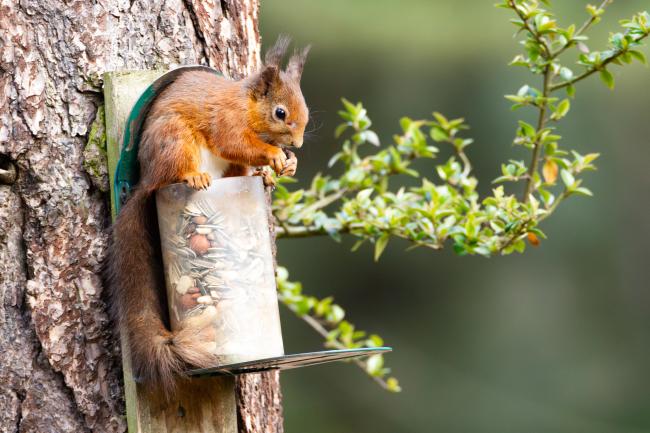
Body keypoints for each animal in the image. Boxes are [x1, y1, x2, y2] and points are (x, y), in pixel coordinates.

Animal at [107, 37, 308, 394]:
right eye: (281, 112)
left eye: (305, 111)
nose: (297, 143)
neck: (247, 106)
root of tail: (147, 179)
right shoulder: (227, 122)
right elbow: (236, 142)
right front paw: (273, 155)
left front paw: (288, 164)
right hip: (175, 141)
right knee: (176, 173)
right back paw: (194, 177)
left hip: (225, 167)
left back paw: (262, 177)